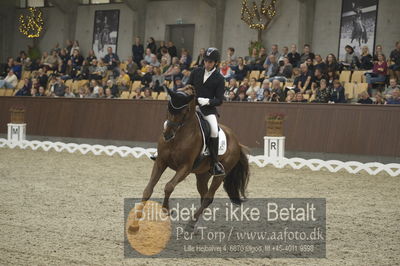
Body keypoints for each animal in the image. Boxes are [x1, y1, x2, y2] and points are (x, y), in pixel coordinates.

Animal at [130, 85, 248, 231]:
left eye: (185, 110)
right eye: (168, 107)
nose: (167, 135)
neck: (178, 136)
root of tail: (237, 142)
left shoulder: (185, 168)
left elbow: (169, 186)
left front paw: (166, 210)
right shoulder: (160, 162)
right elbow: (148, 190)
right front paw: (134, 225)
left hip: (220, 174)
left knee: (208, 197)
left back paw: (191, 223)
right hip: (202, 175)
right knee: (204, 196)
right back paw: (196, 224)